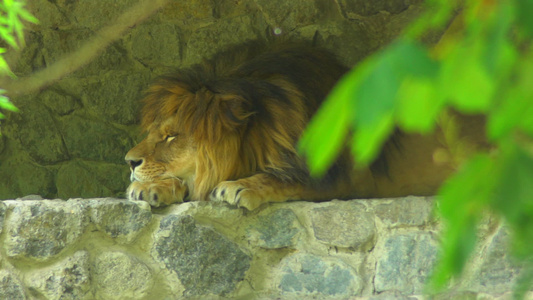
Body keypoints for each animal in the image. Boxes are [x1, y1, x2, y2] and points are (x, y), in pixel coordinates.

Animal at [125, 42, 486, 211]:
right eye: (154, 132)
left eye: (172, 136)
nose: (129, 162)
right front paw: (150, 187)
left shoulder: (344, 178)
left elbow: (284, 179)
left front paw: (241, 186)